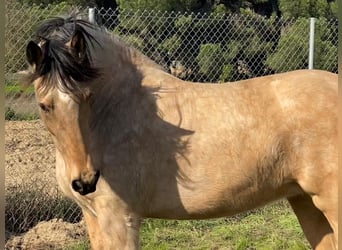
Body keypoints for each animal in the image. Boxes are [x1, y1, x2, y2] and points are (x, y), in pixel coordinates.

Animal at [22, 14, 340, 249]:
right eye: (44, 105)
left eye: (87, 97)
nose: (85, 181)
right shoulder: (93, 217)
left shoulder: (119, 218)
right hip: (305, 201)